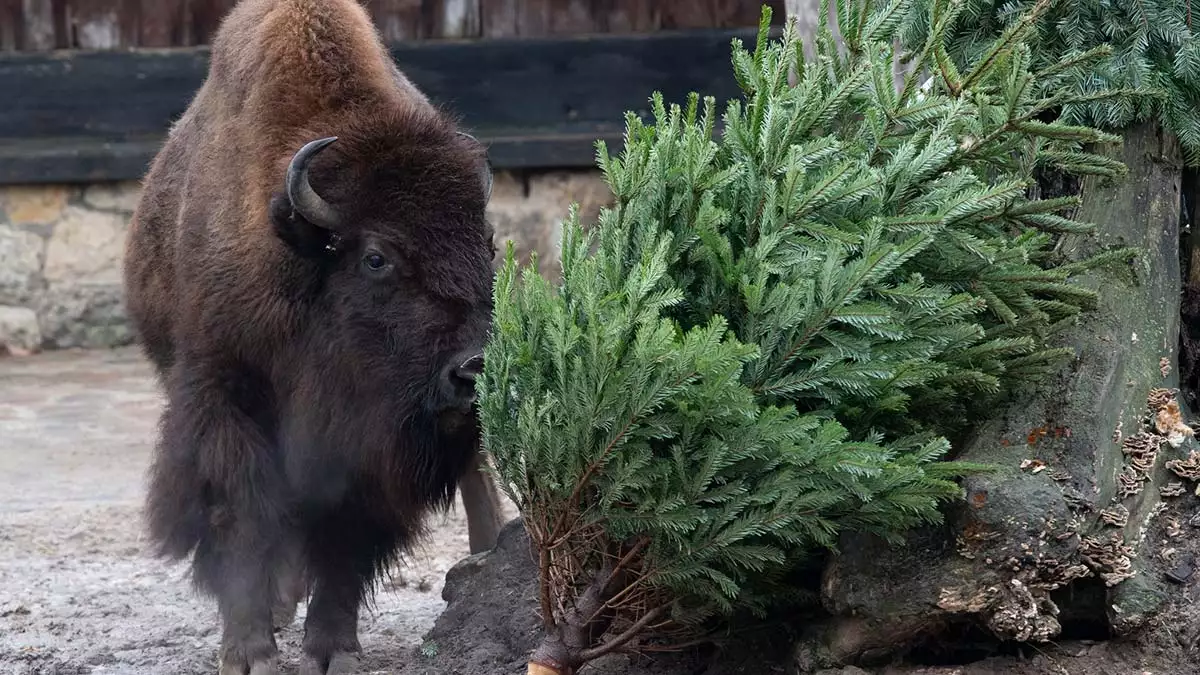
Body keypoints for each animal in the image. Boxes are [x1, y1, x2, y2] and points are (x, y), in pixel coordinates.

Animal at [124, 0, 508, 667]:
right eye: (376, 257)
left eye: (485, 245)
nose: (473, 367)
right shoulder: (224, 396)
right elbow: (243, 516)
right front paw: (248, 651)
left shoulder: (362, 442)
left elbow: (341, 530)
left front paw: (334, 649)